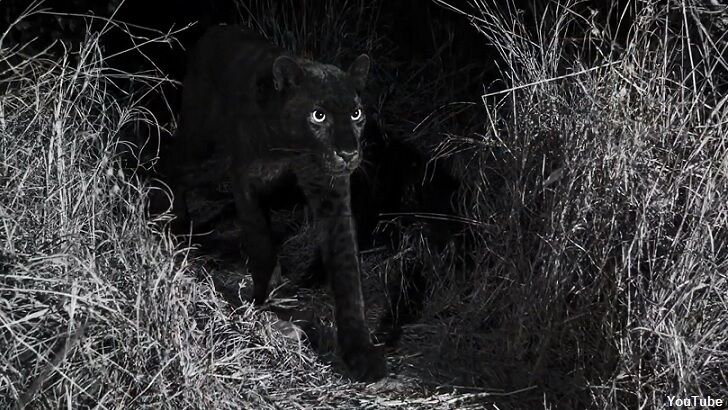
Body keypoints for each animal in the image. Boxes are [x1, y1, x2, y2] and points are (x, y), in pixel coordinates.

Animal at [167, 24, 386, 382]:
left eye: (356, 114)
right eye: (318, 115)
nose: (348, 153)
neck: (292, 149)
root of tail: (214, 30)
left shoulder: (331, 194)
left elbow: (347, 273)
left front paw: (360, 353)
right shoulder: (245, 181)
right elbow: (260, 242)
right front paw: (266, 303)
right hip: (204, 147)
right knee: (171, 161)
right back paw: (173, 221)